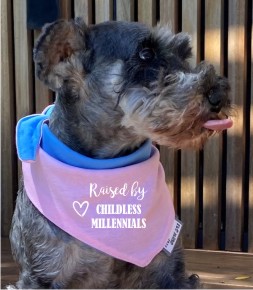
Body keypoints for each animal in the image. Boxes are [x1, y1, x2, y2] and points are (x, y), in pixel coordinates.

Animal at [8, 17, 232, 288]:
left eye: (184, 53)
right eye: (146, 54)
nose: (218, 95)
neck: (108, 168)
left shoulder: (169, 271)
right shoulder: (43, 274)